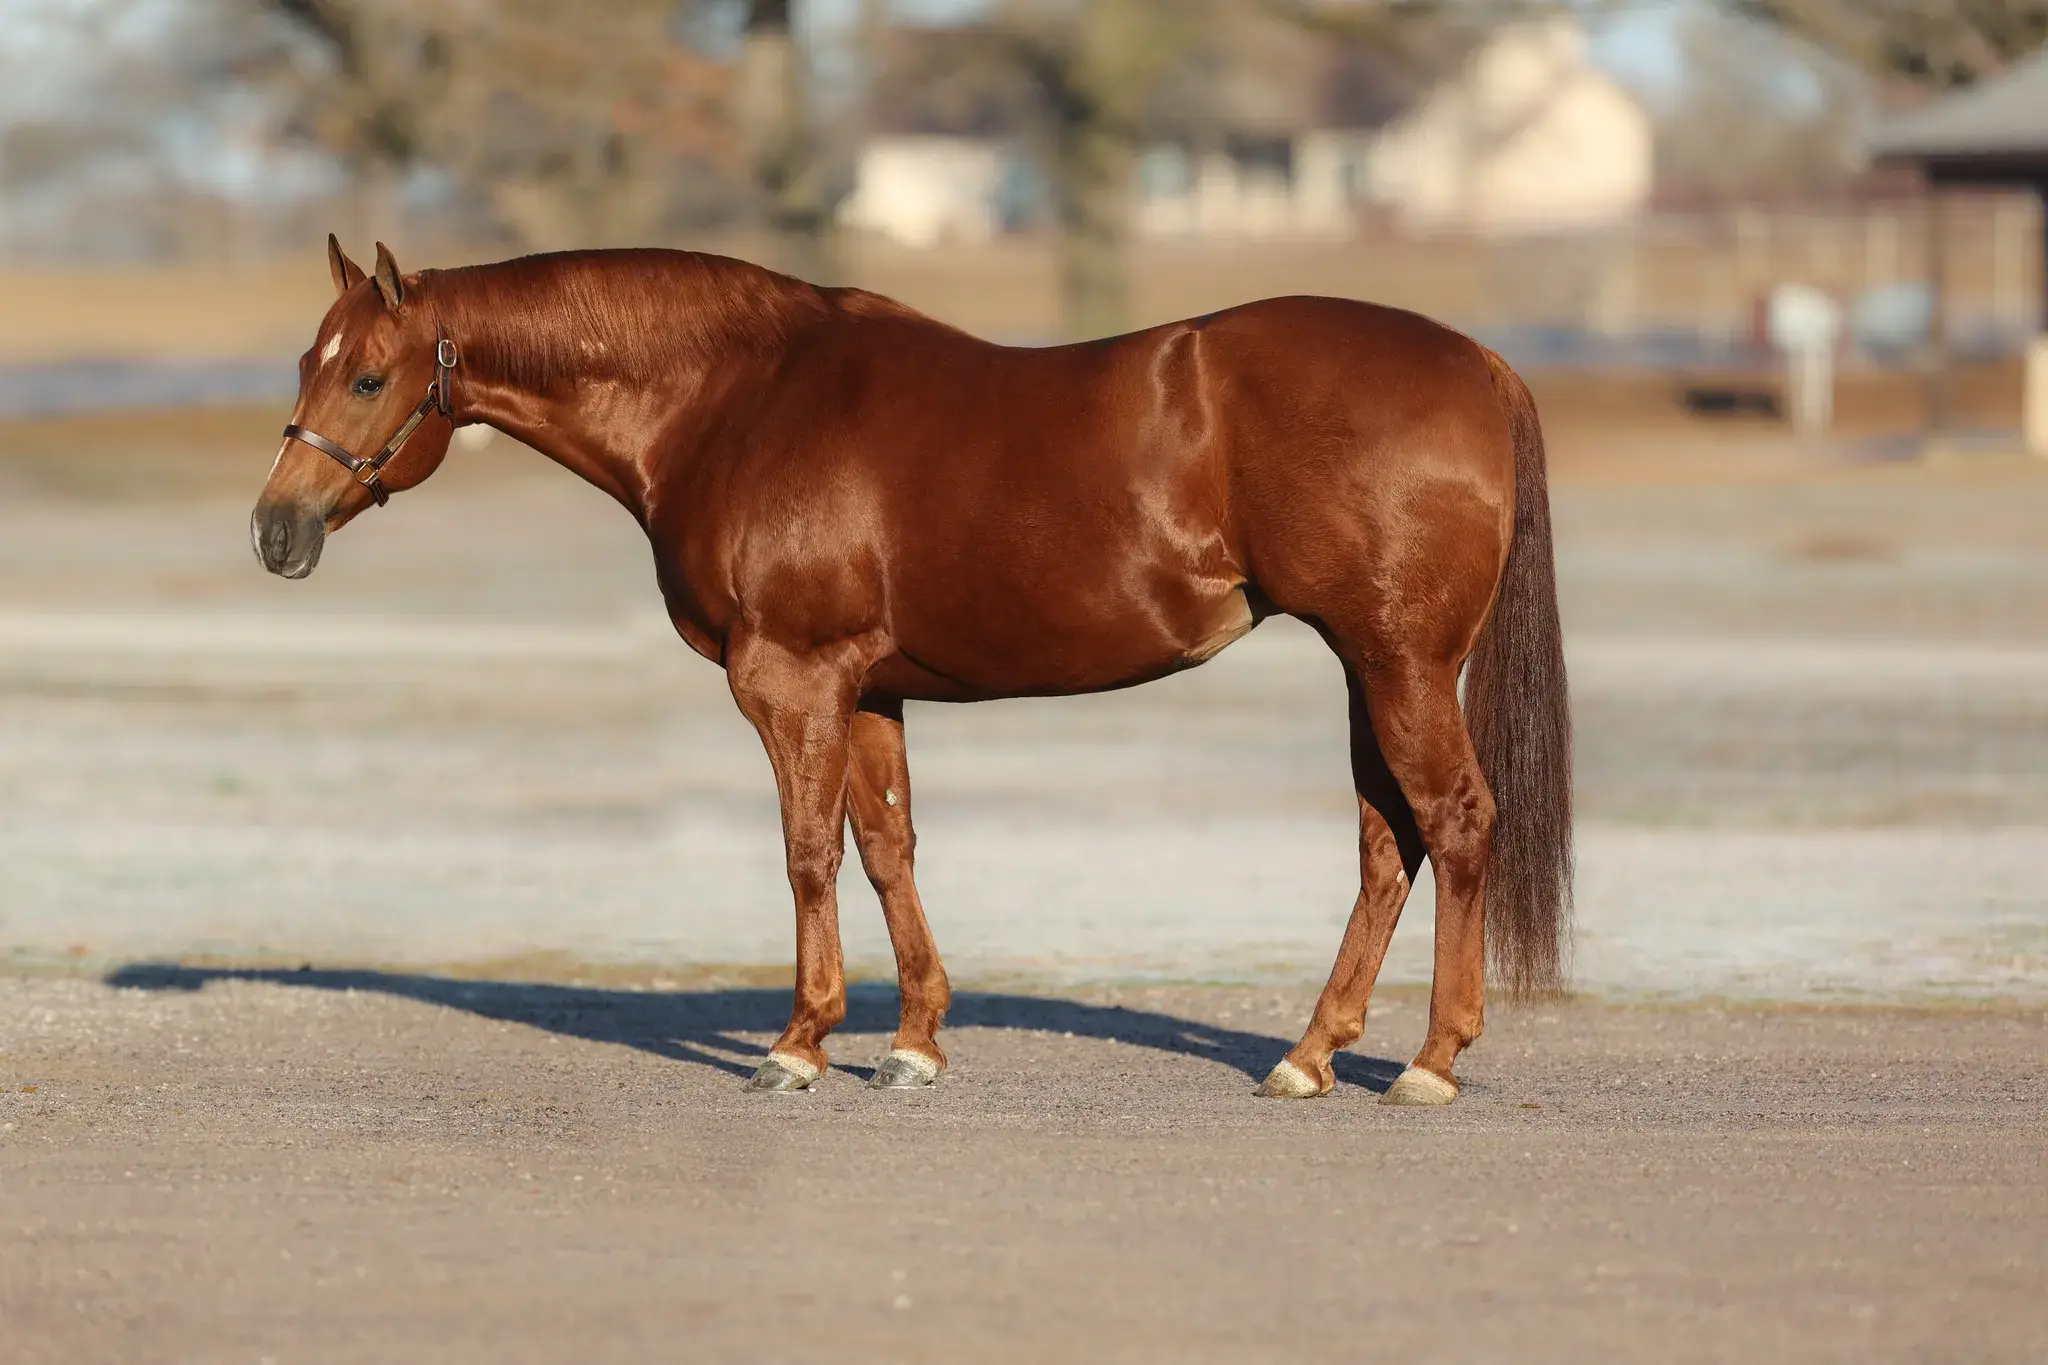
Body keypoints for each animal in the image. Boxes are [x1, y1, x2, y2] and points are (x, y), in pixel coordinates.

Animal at [252, 237, 1572, 1105]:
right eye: (306, 364)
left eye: (366, 376)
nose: (275, 530)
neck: (734, 401)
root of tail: (1478, 362)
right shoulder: (870, 687)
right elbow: (886, 846)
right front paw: (913, 1043)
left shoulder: (788, 679)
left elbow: (807, 852)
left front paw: (798, 1043)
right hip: (1366, 666)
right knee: (1386, 843)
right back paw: (1308, 1055)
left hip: (1398, 663)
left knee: (1454, 821)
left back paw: (1428, 1062)